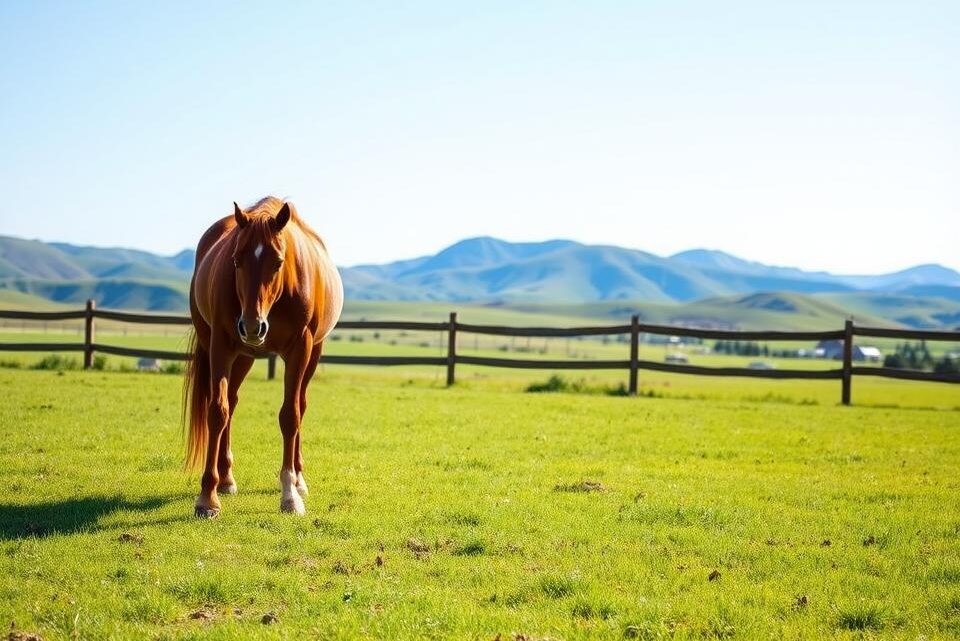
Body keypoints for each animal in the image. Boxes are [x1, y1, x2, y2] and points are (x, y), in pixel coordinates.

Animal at [183, 196, 343, 518]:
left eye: (278, 262)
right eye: (236, 260)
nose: (252, 325)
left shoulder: (300, 349)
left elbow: (290, 415)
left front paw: (290, 494)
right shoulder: (220, 345)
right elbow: (217, 411)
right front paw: (207, 496)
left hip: (309, 355)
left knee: (300, 405)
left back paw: (299, 478)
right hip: (239, 355)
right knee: (230, 402)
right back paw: (226, 479)